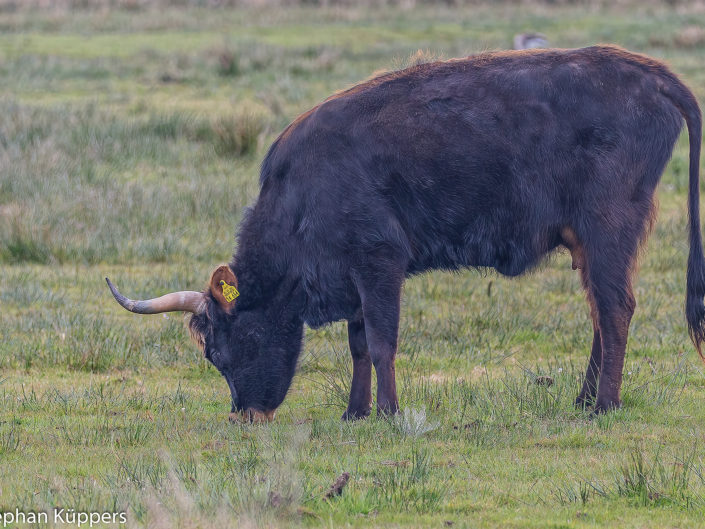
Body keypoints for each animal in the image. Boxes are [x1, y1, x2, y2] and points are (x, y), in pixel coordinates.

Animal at [106, 45, 704, 422]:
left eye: (223, 347)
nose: (245, 415)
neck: (302, 190)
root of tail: (650, 73)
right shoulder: (351, 277)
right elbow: (356, 345)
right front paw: (354, 412)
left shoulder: (380, 264)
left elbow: (380, 341)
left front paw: (390, 413)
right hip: (587, 242)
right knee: (600, 312)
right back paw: (582, 400)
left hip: (609, 230)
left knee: (616, 309)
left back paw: (603, 406)